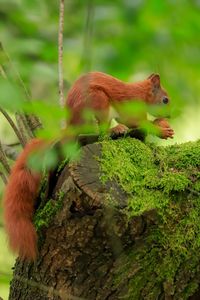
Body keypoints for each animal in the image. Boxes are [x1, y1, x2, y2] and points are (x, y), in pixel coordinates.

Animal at [3, 71, 174, 258]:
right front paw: (160, 129)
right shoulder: (131, 106)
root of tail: (71, 125)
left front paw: (162, 125)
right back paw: (115, 129)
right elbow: (136, 121)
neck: (141, 93)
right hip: (98, 101)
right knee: (101, 130)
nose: (169, 115)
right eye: (165, 100)